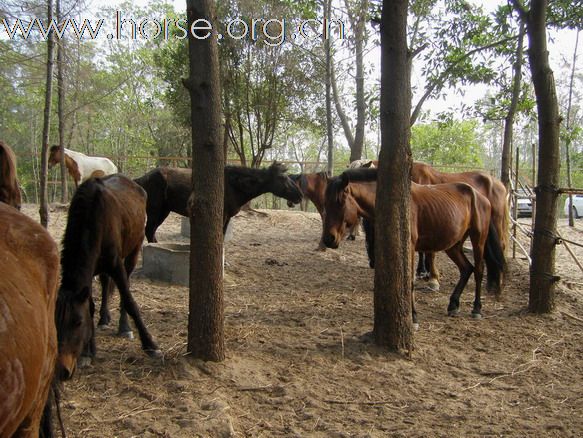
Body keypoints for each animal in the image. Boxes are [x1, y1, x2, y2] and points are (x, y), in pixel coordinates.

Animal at [55, 175, 162, 380]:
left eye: (77, 322)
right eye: (54, 323)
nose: (62, 371)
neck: (93, 217)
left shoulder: (115, 265)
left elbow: (129, 301)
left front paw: (150, 345)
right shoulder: (89, 272)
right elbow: (89, 306)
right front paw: (88, 352)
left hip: (133, 251)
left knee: (125, 285)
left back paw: (124, 327)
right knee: (105, 285)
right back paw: (104, 319)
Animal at [135, 161, 304, 243]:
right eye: (282, 178)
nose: (299, 195)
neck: (233, 184)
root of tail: (141, 179)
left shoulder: (227, 217)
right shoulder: (221, 215)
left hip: (164, 211)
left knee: (151, 232)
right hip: (155, 211)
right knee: (149, 230)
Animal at [324, 169, 506, 320]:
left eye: (340, 201)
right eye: (326, 202)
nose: (328, 239)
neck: (397, 205)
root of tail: (482, 198)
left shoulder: (410, 247)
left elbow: (409, 280)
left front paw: (413, 316)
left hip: (478, 239)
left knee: (478, 270)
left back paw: (477, 309)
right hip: (453, 245)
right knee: (466, 268)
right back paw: (453, 305)